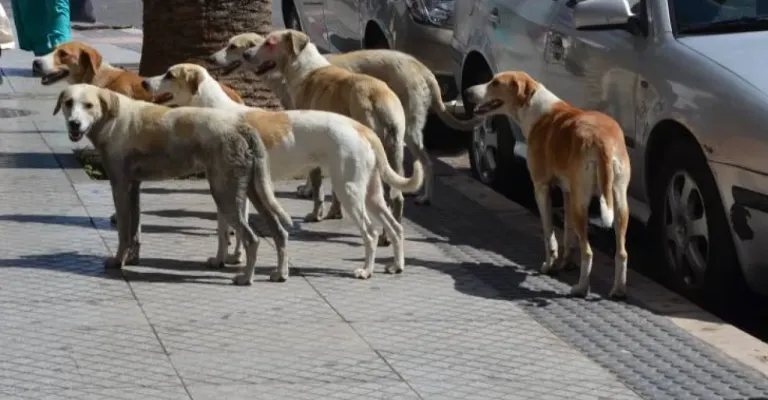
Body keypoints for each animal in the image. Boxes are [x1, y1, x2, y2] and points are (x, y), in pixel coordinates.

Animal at [53, 83, 293, 285]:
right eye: (68, 103)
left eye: (88, 105)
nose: (74, 123)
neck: (111, 116)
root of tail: (242, 127)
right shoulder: (134, 186)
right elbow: (135, 230)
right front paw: (132, 258)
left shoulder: (119, 186)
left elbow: (123, 231)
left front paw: (118, 261)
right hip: (252, 189)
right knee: (279, 232)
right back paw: (280, 273)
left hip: (225, 193)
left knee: (252, 239)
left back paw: (246, 278)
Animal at [142, 63, 425, 279]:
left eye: (169, 74)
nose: (144, 82)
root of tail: (361, 128)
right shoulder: (236, 189)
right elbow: (227, 231)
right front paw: (228, 258)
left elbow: (227, 230)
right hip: (371, 193)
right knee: (395, 227)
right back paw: (397, 265)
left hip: (349, 191)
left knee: (371, 232)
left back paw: (365, 270)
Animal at [210, 32, 482, 206]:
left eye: (233, 46)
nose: (211, 59)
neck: (307, 68)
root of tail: (421, 67)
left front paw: (308, 190)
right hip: (399, 138)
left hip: (406, 132)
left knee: (424, 163)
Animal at [238, 29, 410, 246]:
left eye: (269, 43)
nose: (246, 54)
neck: (306, 68)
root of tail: (377, 97)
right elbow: (334, 191)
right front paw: (334, 212)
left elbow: (318, 183)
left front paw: (316, 214)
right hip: (393, 152)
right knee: (397, 197)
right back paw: (392, 233)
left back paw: (385, 236)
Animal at [465, 71, 630, 299]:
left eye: (495, 83)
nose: (467, 91)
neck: (536, 108)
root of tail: (602, 141)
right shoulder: (568, 192)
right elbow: (568, 233)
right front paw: (566, 262)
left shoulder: (541, 188)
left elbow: (548, 231)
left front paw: (549, 264)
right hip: (618, 202)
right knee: (622, 253)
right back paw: (618, 289)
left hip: (582, 204)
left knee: (588, 251)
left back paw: (581, 288)